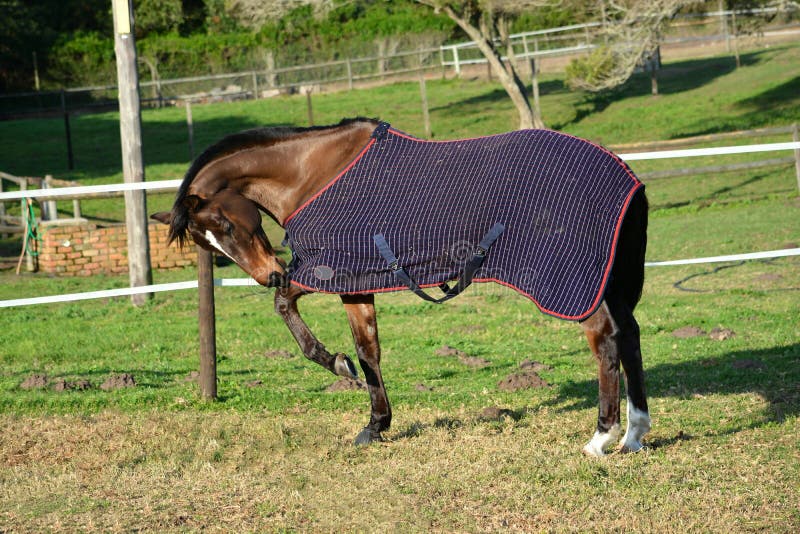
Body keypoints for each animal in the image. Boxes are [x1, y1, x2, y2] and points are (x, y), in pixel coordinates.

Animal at [152, 117, 648, 456]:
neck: (311, 173)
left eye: (224, 224)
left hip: (574, 283)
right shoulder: (357, 280)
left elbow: (285, 308)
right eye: (206, 242)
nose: (267, 272)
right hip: (608, 281)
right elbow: (368, 350)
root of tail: (625, 174)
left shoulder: (327, 268)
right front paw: (374, 423)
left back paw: (601, 437)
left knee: (605, 338)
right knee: (630, 337)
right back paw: (635, 433)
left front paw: (336, 364)